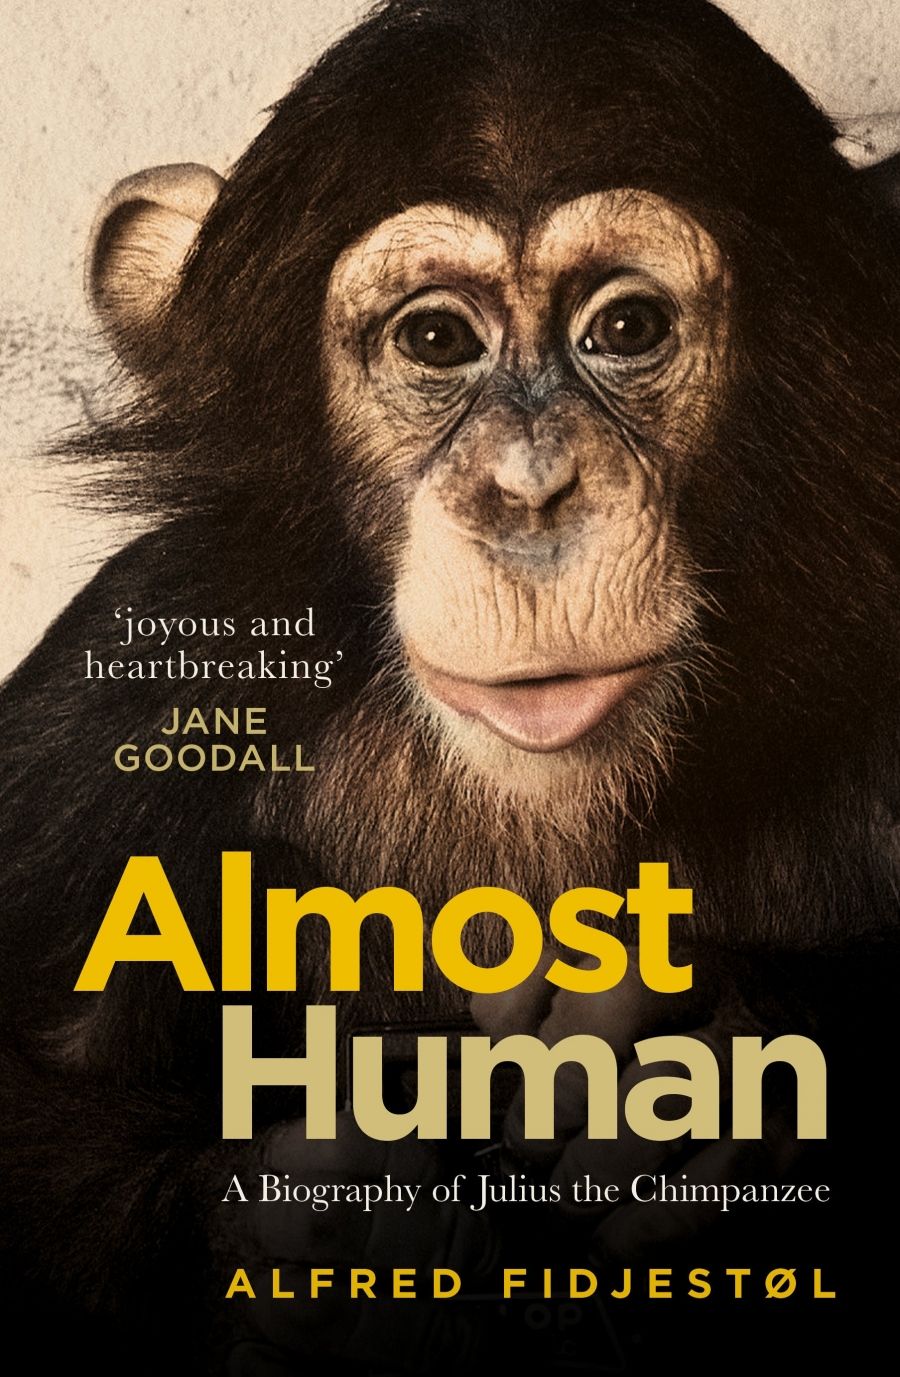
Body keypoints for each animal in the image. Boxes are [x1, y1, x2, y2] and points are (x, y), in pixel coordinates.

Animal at [0, 0, 898, 1371]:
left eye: (626, 329)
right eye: (436, 339)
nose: (531, 488)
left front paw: (719, 1069)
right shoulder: (116, 698)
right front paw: (341, 1201)